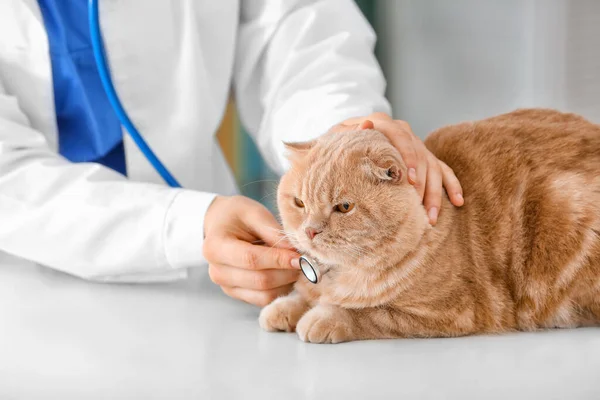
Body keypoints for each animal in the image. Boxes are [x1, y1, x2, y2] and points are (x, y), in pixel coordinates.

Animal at [260, 108, 600, 344]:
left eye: (344, 207)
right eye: (299, 203)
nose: (309, 231)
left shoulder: (447, 312)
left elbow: (365, 314)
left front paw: (320, 318)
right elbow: (302, 294)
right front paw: (283, 308)